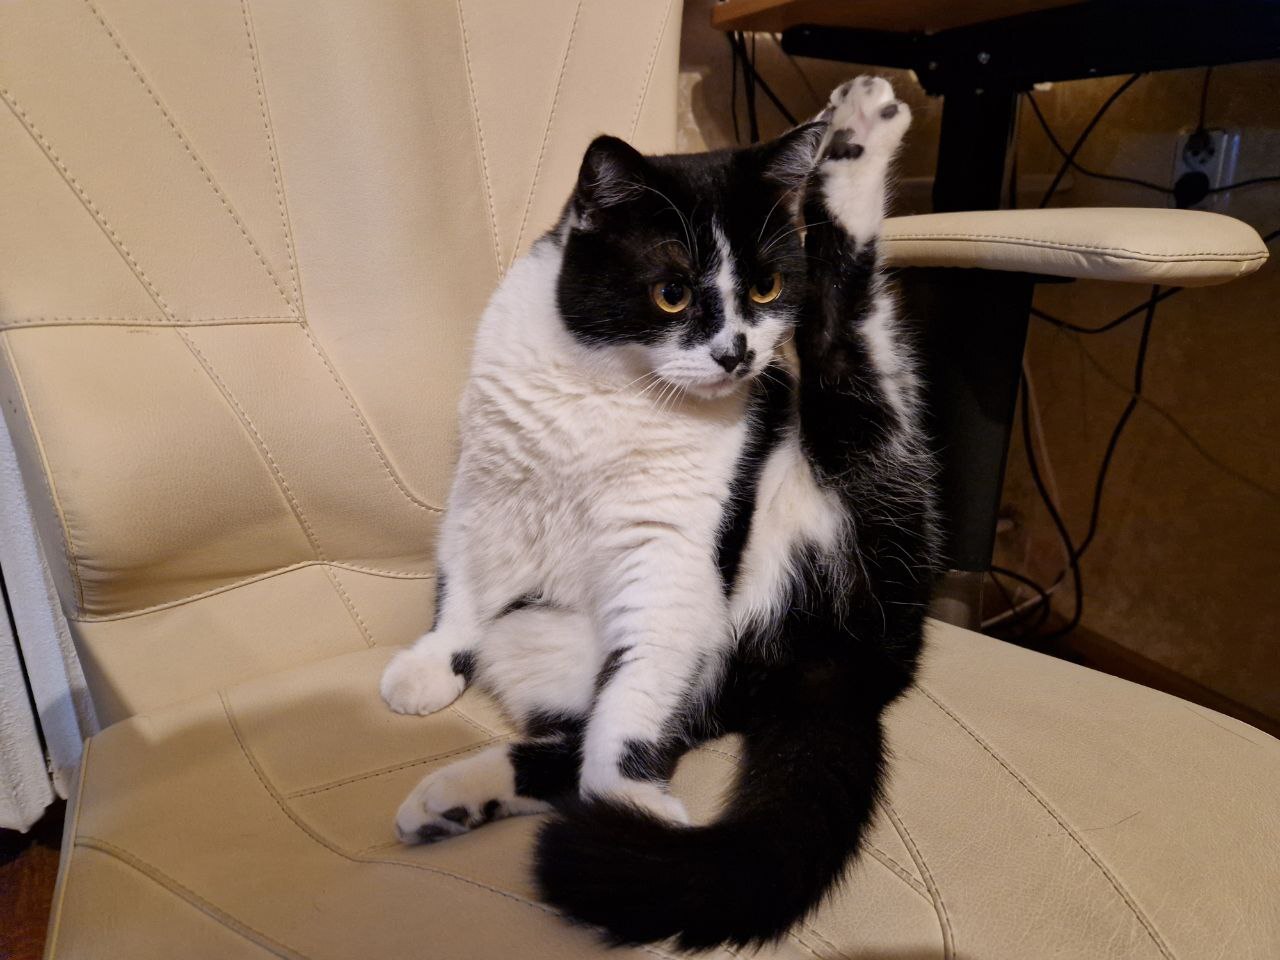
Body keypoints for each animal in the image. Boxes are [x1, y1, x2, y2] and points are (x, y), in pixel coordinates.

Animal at [379, 75, 941, 949]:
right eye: (671, 292)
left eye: (764, 289)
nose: (737, 355)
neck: (614, 382)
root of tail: (842, 663)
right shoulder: (490, 483)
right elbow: (466, 579)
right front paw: (431, 661)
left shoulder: (668, 551)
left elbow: (637, 694)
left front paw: (628, 803)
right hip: (542, 643)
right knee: (579, 730)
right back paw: (453, 799)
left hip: (864, 482)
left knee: (850, 337)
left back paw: (854, 142)